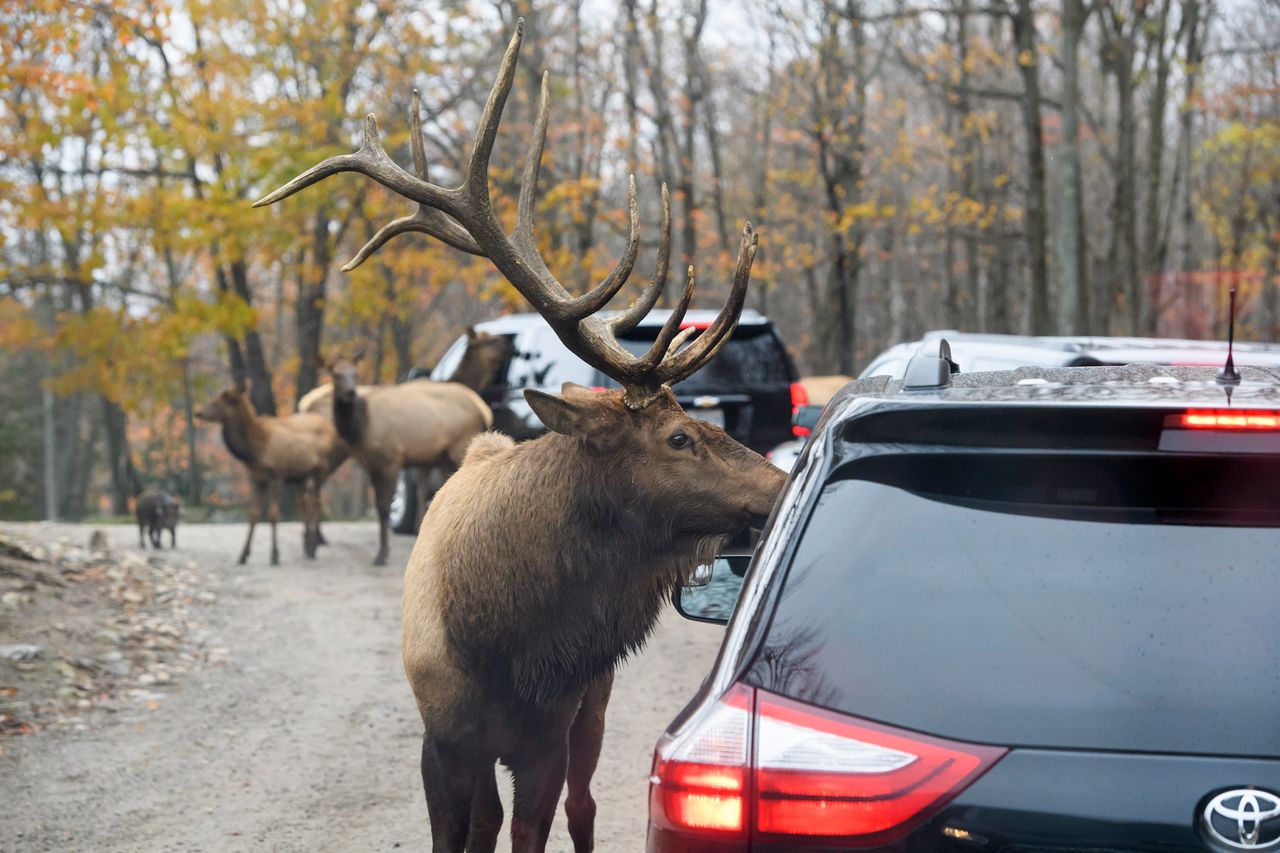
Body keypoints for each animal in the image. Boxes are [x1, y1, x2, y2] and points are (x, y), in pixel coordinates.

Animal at [194, 381, 340, 560]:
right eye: (213, 398)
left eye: (217, 402)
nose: (198, 412)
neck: (254, 451)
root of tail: (327, 424)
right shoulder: (257, 478)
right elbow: (253, 514)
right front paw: (243, 554)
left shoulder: (277, 475)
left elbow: (273, 515)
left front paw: (275, 555)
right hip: (301, 475)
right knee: (303, 504)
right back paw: (306, 547)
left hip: (321, 467)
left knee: (316, 502)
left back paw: (313, 548)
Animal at [254, 19, 783, 850]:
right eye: (677, 438)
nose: (785, 480)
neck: (505, 643)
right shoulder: (441, 738)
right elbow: (459, 831)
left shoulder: (547, 734)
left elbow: (534, 821)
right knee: (491, 817)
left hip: (595, 706)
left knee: (582, 806)